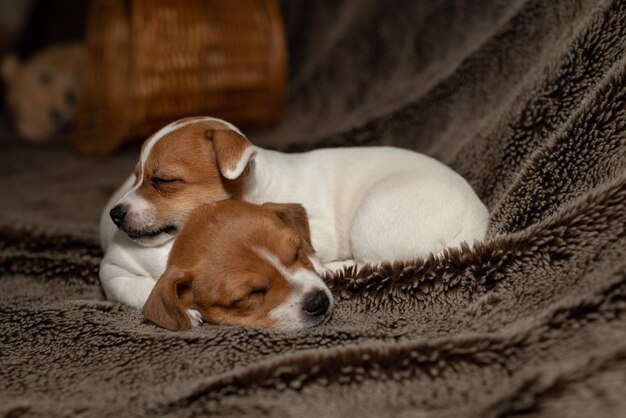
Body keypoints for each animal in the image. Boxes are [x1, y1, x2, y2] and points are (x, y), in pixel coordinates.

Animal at [100, 116, 488, 308]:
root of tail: (477, 218)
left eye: (164, 180)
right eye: (135, 175)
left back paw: (339, 267)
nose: (115, 214)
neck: (258, 185)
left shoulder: (316, 227)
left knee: (384, 262)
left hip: (374, 218)